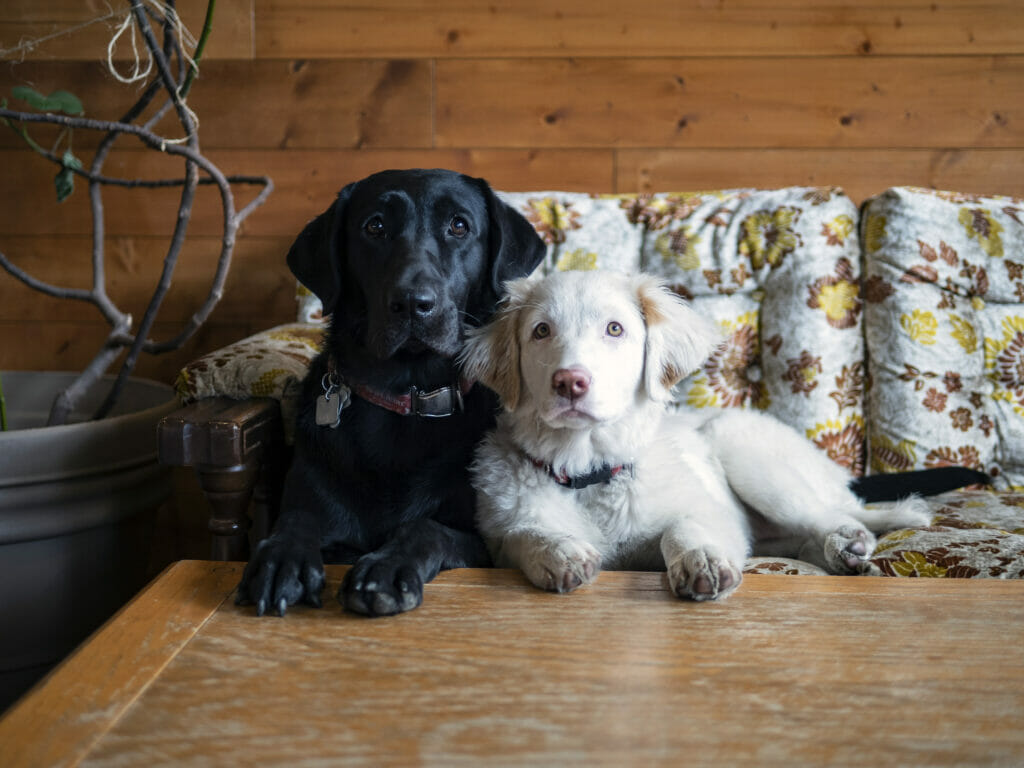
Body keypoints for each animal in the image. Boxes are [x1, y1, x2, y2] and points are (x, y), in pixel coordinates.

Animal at [236, 169, 548, 618]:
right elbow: (297, 519)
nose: (413, 304)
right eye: (375, 227)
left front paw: (384, 570)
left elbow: (426, 526)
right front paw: (282, 558)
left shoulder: (485, 544)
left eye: (459, 225)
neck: (407, 395)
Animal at [464, 270, 929, 602]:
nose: (569, 382)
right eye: (541, 331)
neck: (589, 469)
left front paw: (700, 560)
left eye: (614, 329)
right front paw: (560, 551)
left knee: (839, 517)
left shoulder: (717, 516)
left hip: (743, 448)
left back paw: (848, 546)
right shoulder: (499, 539)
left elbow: (682, 528)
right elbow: (524, 533)